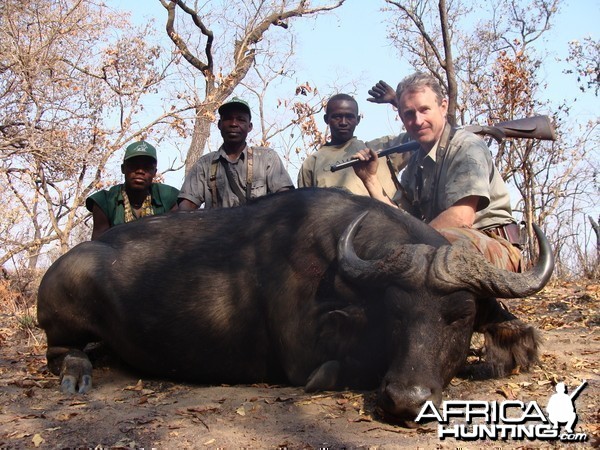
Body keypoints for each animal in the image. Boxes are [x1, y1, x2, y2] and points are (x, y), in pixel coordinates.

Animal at [37, 186, 552, 422]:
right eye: (395, 315)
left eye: (460, 317)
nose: (406, 401)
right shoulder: (303, 357)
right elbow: (333, 368)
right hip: (62, 320)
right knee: (60, 351)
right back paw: (77, 373)